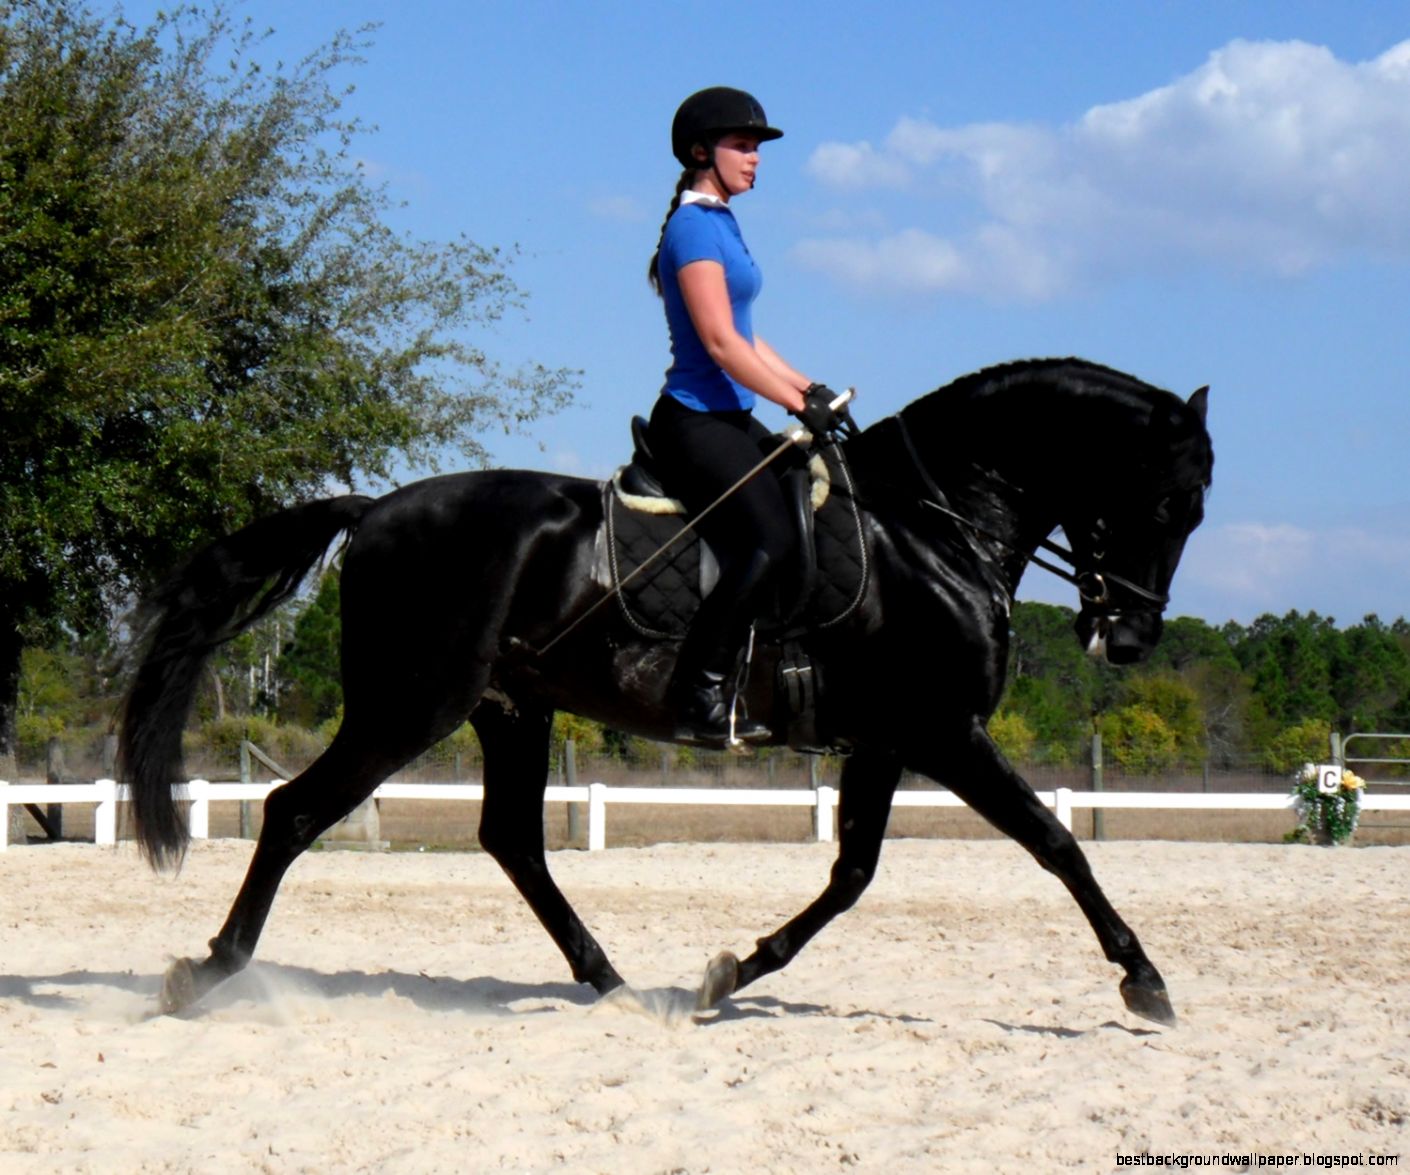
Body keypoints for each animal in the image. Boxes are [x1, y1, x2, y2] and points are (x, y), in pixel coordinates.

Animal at [119, 357, 1213, 1025]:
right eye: (1168, 500)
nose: (1129, 636)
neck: (931, 528)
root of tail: (378, 507)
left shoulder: (886, 741)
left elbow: (852, 874)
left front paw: (731, 973)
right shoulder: (944, 731)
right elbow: (1058, 843)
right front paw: (1145, 978)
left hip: (511, 706)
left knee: (512, 839)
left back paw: (611, 981)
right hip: (410, 704)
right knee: (295, 810)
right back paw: (206, 970)